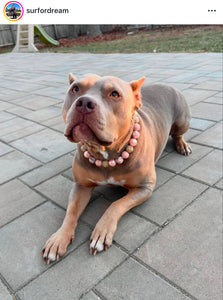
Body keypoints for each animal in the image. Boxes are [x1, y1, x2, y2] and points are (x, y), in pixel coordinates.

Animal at [42, 72, 192, 262]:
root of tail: (167, 85)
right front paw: (59, 238)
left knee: (178, 134)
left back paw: (182, 145)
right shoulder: (81, 186)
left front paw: (101, 231)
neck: (105, 155)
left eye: (114, 94)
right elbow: (71, 212)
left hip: (182, 120)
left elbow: (115, 205)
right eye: (75, 89)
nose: (84, 103)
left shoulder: (144, 188)